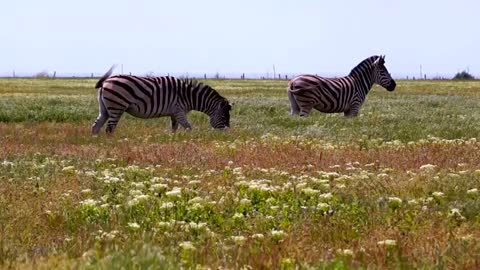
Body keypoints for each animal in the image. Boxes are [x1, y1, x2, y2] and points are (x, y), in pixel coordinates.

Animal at [92, 66, 232, 134]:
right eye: (224, 117)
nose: (227, 133)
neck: (188, 96)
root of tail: (106, 82)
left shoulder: (174, 113)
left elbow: (174, 128)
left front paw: (173, 141)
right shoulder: (179, 111)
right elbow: (188, 128)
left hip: (105, 108)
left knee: (96, 126)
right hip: (117, 106)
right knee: (109, 129)